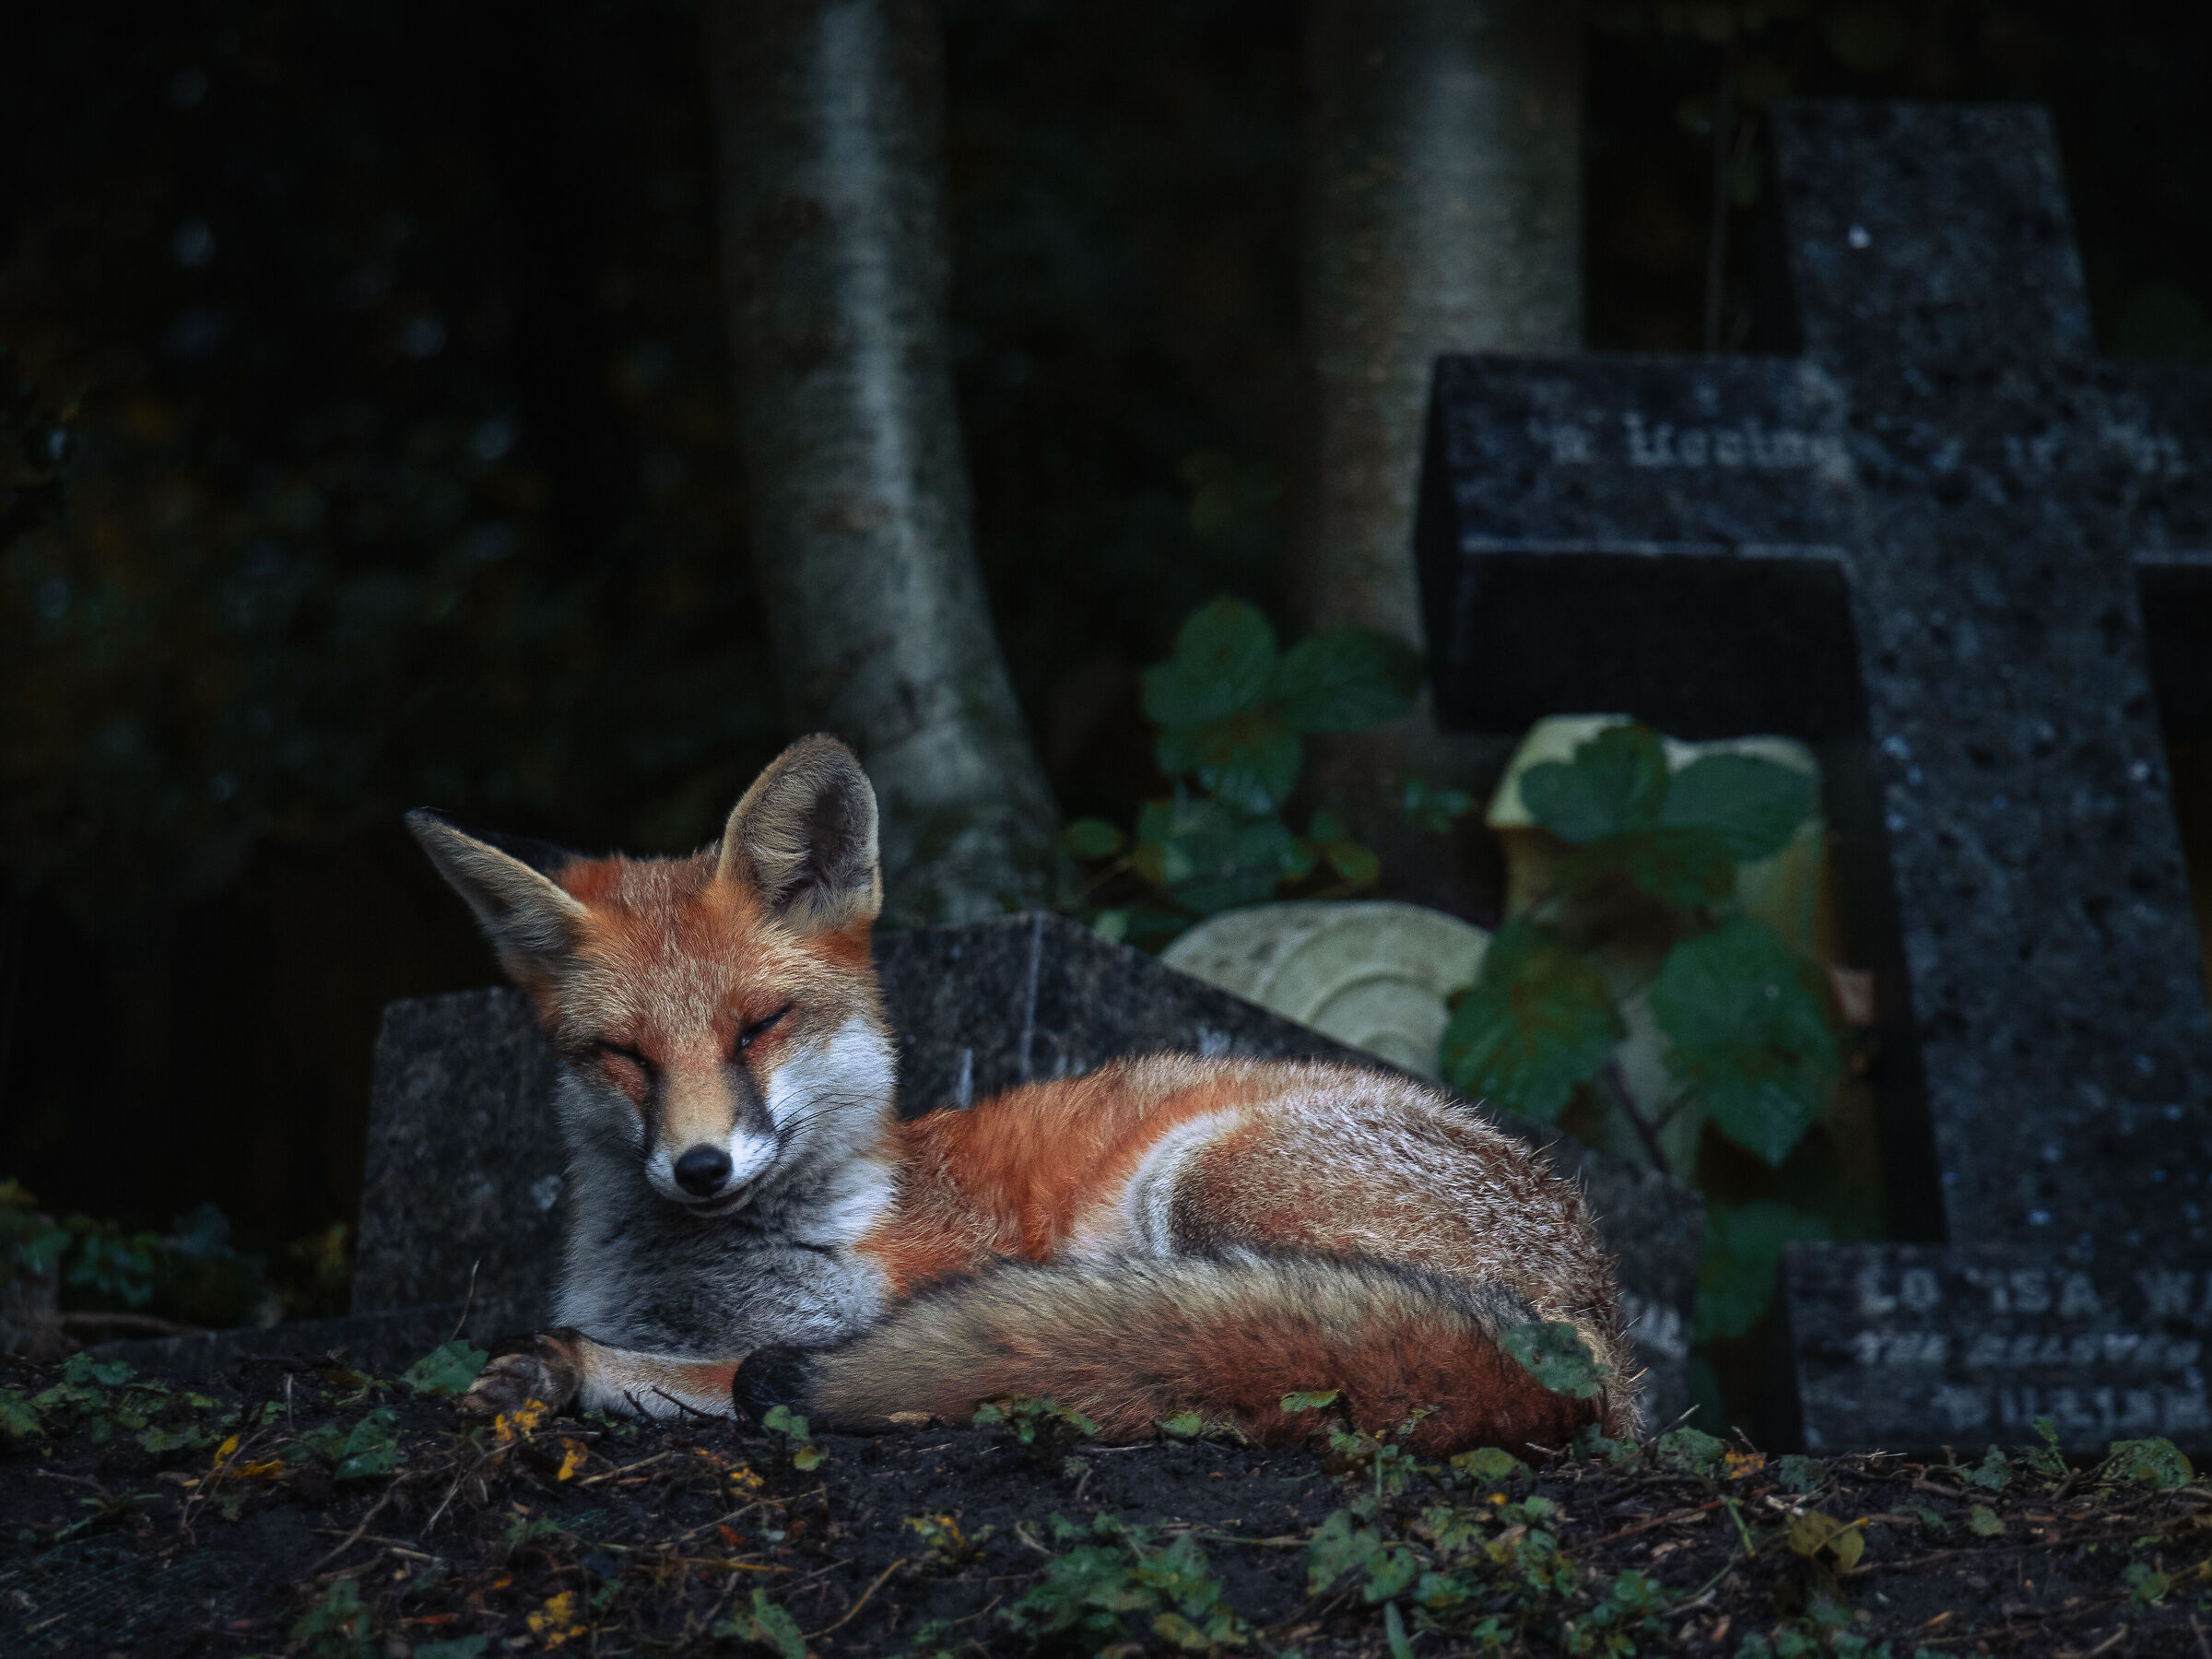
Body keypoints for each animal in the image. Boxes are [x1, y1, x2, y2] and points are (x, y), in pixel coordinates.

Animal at [406, 735, 1642, 1454]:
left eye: (758, 1026)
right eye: (623, 1054)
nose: (700, 1168)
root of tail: (1604, 1344)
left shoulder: (896, 1294)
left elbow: (730, 1372)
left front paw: (574, 1368)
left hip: (1203, 1186)